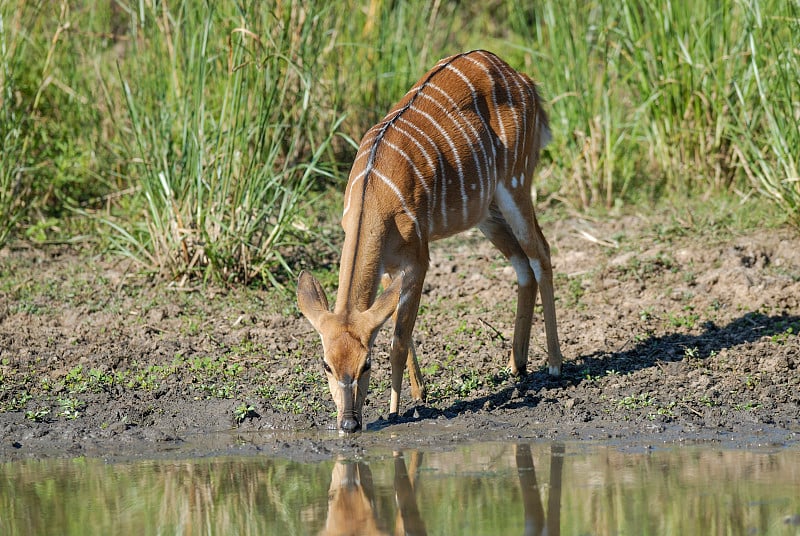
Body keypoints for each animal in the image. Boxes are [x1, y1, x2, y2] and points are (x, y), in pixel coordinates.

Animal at [296, 50, 564, 434]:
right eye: (326, 365)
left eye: (366, 364)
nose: (349, 423)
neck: (373, 196)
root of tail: (524, 80)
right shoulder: (389, 265)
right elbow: (398, 324)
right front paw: (419, 393)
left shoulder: (418, 257)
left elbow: (398, 338)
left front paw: (396, 409)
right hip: (486, 211)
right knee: (521, 264)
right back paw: (517, 364)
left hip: (516, 183)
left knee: (540, 254)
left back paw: (555, 364)